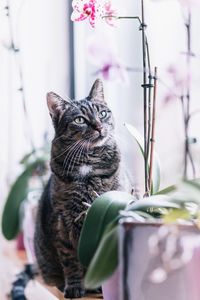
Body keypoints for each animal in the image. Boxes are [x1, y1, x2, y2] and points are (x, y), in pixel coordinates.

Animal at [34, 79, 122, 298]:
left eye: (102, 114)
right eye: (80, 120)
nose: (98, 126)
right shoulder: (62, 223)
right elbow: (70, 261)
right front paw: (74, 287)